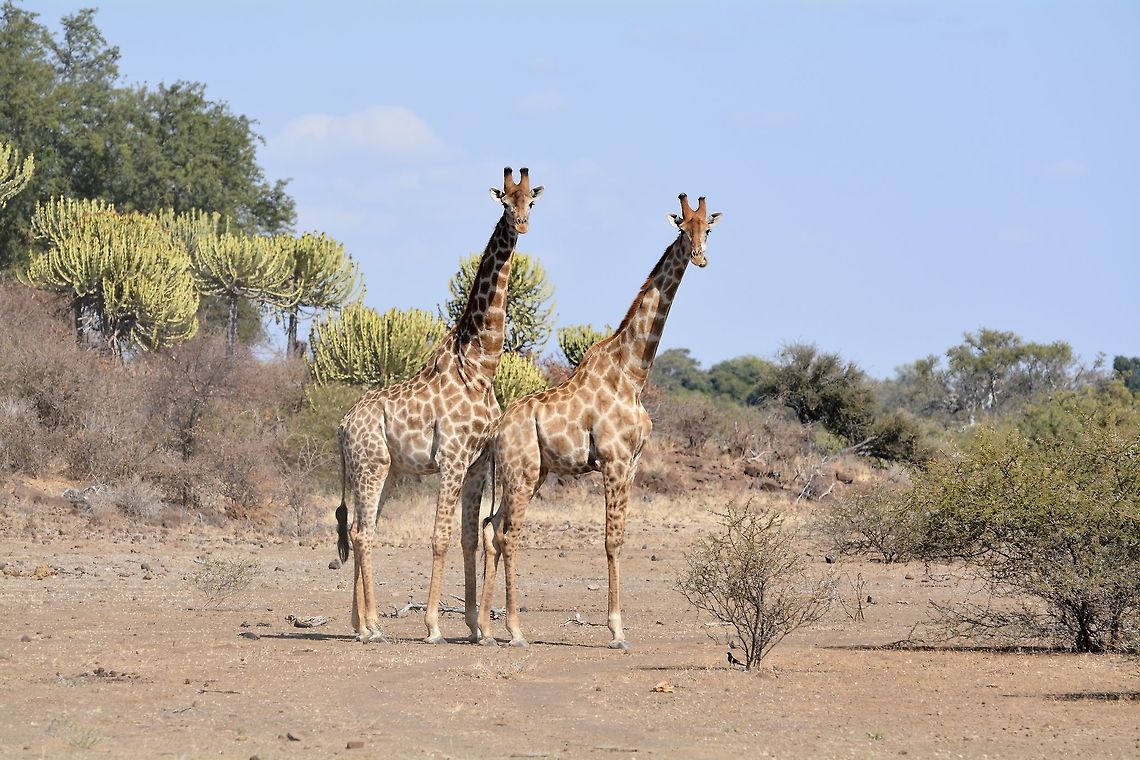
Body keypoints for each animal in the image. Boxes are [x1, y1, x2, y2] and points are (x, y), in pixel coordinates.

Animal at [336, 167, 543, 644]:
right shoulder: (451, 456)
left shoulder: (476, 462)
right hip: (372, 465)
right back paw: (374, 627)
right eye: (505, 201)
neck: (480, 365)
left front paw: (477, 628)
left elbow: (468, 537)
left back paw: (359, 624)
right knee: (364, 534)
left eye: (532, 202)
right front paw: (433, 626)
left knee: (359, 528)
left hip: (380, 469)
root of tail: (342, 425)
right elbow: (439, 537)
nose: (522, 225)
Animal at [478, 193, 722, 649]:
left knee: (490, 526)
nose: (700, 258)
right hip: (522, 472)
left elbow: (621, 537)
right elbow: (611, 541)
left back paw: (484, 628)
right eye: (684, 228)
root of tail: (497, 430)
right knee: (508, 533)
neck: (633, 373)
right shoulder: (613, 459)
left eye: (709, 229)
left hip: (530, 473)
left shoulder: (634, 463)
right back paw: (514, 630)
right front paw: (616, 630)